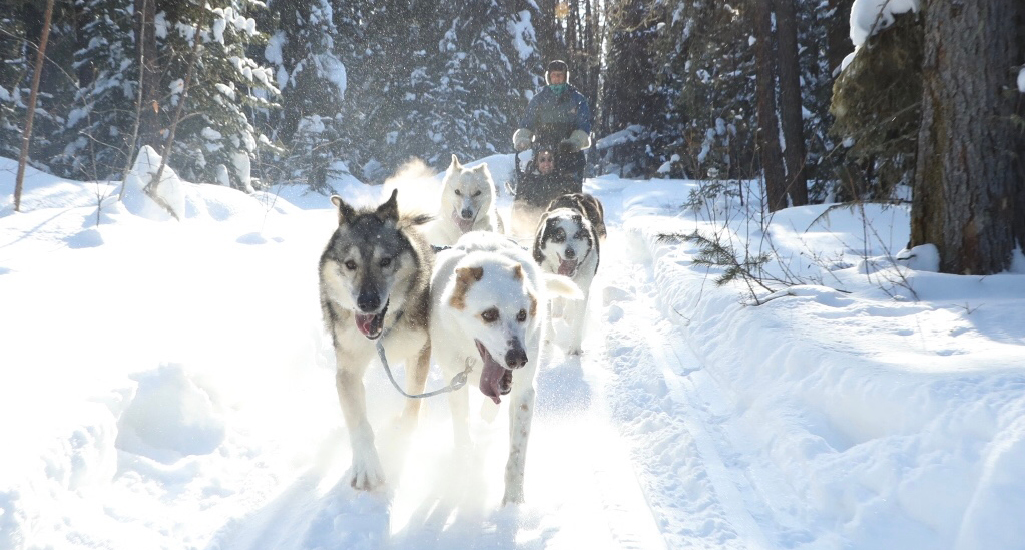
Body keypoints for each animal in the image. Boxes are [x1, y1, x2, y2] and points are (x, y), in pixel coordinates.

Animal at [317, 188, 434, 489]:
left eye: (385, 261)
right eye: (350, 264)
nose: (367, 302)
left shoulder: (420, 352)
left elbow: (413, 403)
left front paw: (403, 442)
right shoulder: (347, 371)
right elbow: (359, 424)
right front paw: (367, 465)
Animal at [428, 229, 582, 503]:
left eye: (522, 314)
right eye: (489, 314)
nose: (518, 358)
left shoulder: (524, 392)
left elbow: (517, 454)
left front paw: (513, 501)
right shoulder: (454, 381)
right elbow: (462, 429)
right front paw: (463, 472)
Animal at [533, 192, 602, 356]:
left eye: (578, 235)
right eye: (559, 236)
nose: (570, 252)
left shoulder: (583, 287)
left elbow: (578, 320)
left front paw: (575, 347)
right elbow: (547, 313)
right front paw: (548, 336)